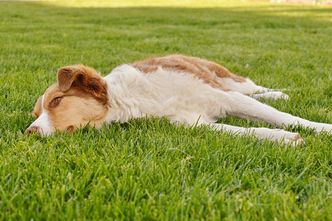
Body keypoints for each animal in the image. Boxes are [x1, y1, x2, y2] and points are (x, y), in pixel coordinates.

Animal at [26, 54, 332, 145]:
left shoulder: (226, 98)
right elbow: (243, 130)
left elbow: (284, 117)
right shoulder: (190, 122)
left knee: (252, 88)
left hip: (227, 80)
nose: (29, 131)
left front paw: (323, 129)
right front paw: (283, 138)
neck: (134, 98)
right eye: (35, 115)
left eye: (56, 101)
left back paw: (280, 93)